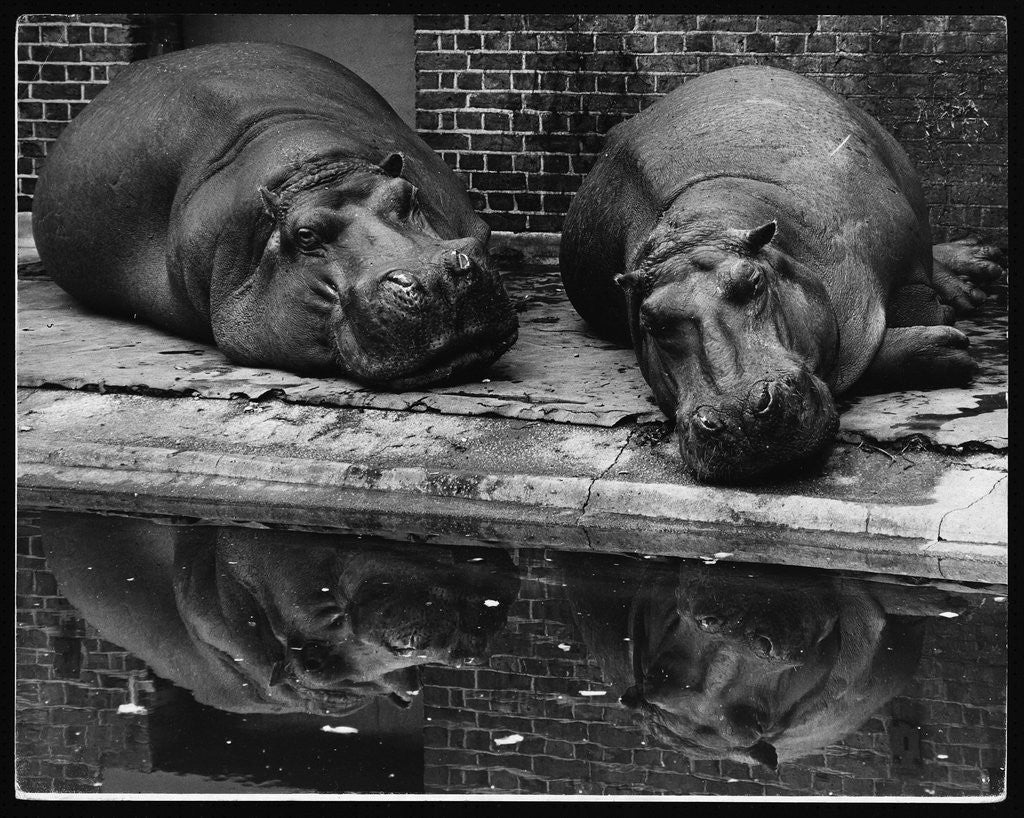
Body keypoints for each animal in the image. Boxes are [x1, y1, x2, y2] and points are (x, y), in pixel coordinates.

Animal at [560, 65, 1004, 482]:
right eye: (650, 322)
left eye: (753, 281)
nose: (738, 415)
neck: (701, 229)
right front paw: (950, 348)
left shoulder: (901, 267)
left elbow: (907, 315)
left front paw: (952, 329)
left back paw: (977, 270)